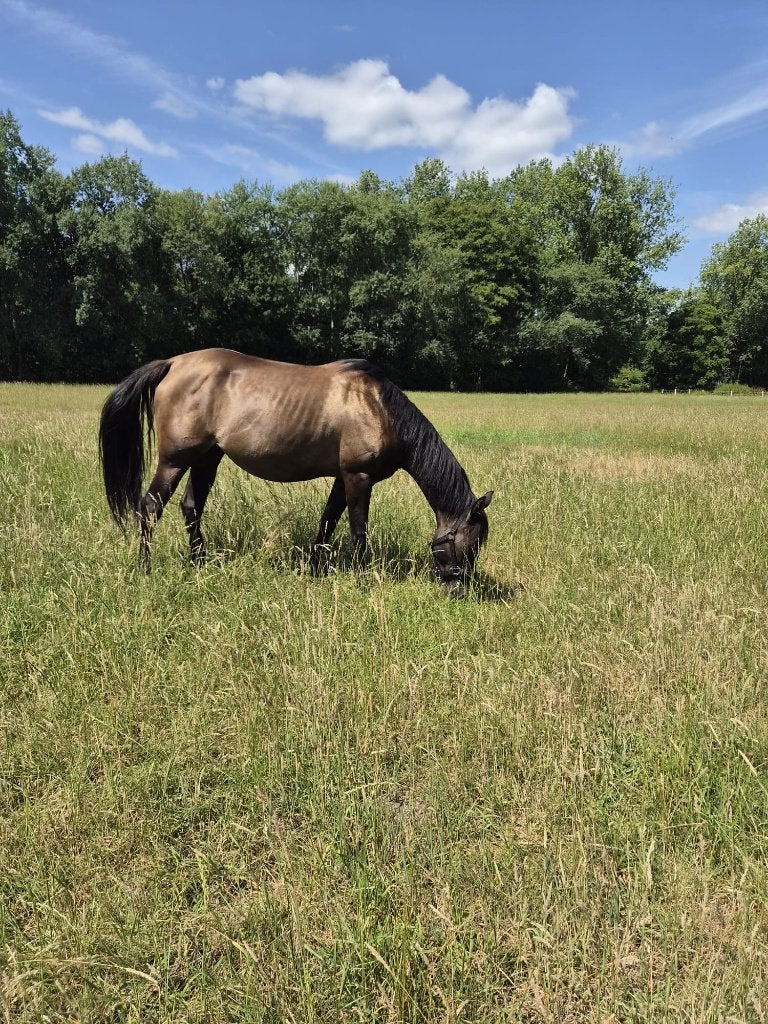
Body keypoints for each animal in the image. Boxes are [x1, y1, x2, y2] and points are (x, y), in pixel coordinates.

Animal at [98, 348, 492, 596]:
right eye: (470, 546)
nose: (457, 590)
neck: (378, 409)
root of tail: (173, 363)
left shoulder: (342, 478)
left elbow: (328, 521)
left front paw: (316, 567)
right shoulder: (358, 478)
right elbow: (358, 532)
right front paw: (363, 578)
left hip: (208, 457)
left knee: (191, 507)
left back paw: (200, 563)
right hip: (175, 460)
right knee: (150, 508)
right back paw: (145, 567)